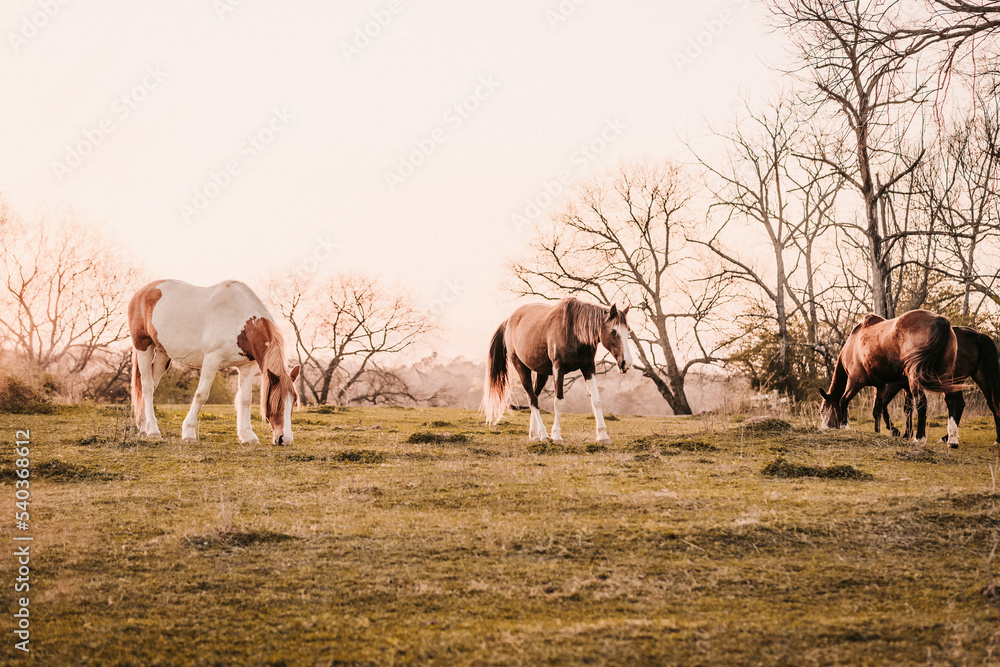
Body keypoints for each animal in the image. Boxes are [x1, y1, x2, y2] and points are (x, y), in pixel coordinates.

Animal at [128, 279, 300, 445]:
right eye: (277, 402)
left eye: (293, 401)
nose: (284, 439)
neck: (241, 320)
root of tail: (139, 293)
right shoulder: (212, 360)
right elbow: (201, 395)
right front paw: (189, 433)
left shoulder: (247, 366)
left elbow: (245, 400)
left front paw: (248, 436)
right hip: (143, 347)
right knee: (147, 386)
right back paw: (153, 431)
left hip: (162, 354)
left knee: (151, 386)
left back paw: (143, 427)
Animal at [481, 297, 635, 444]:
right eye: (613, 331)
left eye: (628, 331)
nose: (626, 363)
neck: (573, 332)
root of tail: (509, 321)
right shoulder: (558, 369)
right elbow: (558, 402)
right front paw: (556, 435)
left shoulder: (588, 368)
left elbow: (596, 400)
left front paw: (603, 436)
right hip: (521, 368)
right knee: (532, 399)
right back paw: (543, 434)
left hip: (542, 373)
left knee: (535, 397)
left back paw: (534, 434)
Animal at [819, 310, 961, 443]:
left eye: (822, 411)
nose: (825, 428)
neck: (852, 345)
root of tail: (939, 320)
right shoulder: (880, 386)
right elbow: (878, 410)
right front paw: (878, 432)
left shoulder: (855, 381)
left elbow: (843, 400)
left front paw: (845, 426)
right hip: (945, 376)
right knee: (952, 402)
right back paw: (952, 440)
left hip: (915, 380)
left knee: (922, 403)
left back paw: (919, 438)